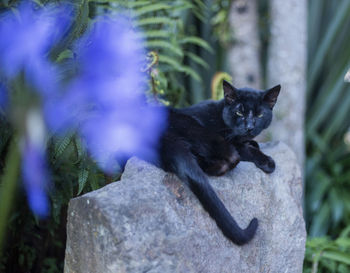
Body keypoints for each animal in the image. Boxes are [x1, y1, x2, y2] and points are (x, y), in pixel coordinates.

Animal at [159, 79, 282, 243]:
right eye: (239, 112)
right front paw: (267, 161)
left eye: (260, 114)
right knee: (232, 157)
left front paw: (253, 143)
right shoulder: (229, 140)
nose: (249, 127)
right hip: (199, 131)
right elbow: (246, 149)